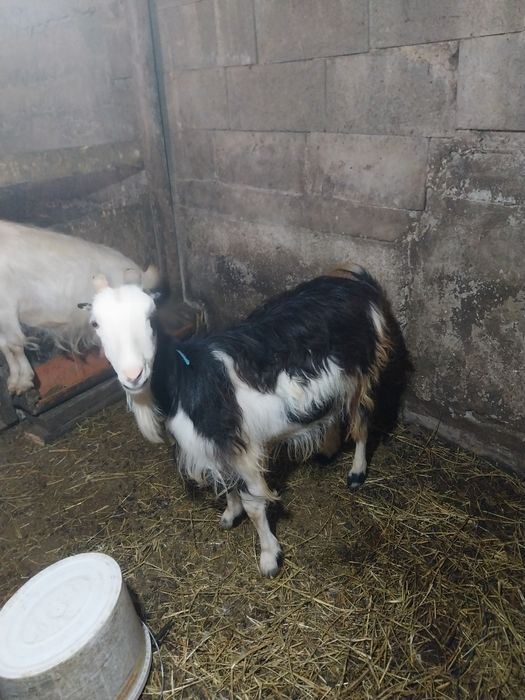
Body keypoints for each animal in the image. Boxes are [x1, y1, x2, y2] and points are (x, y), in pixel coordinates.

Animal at [0, 219, 159, 395]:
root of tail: (139, 272)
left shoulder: (7, 309)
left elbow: (14, 345)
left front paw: (24, 381)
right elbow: (4, 347)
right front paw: (15, 381)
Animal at [83, 264, 398, 577]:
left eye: (151, 316)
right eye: (95, 324)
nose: (133, 374)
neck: (188, 379)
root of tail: (358, 281)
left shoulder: (243, 448)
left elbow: (254, 505)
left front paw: (270, 557)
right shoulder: (220, 445)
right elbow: (227, 484)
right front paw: (230, 515)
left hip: (363, 371)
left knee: (362, 421)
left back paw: (356, 472)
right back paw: (327, 450)